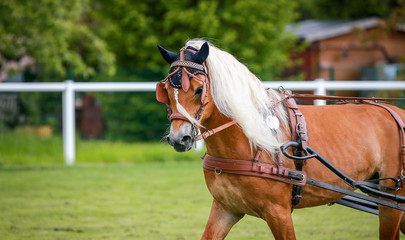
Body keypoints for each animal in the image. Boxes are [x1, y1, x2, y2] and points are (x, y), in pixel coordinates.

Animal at [155, 38, 404, 239]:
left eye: (198, 90)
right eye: (165, 90)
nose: (179, 139)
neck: (250, 140)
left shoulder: (279, 213)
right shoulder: (226, 208)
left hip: (392, 201)